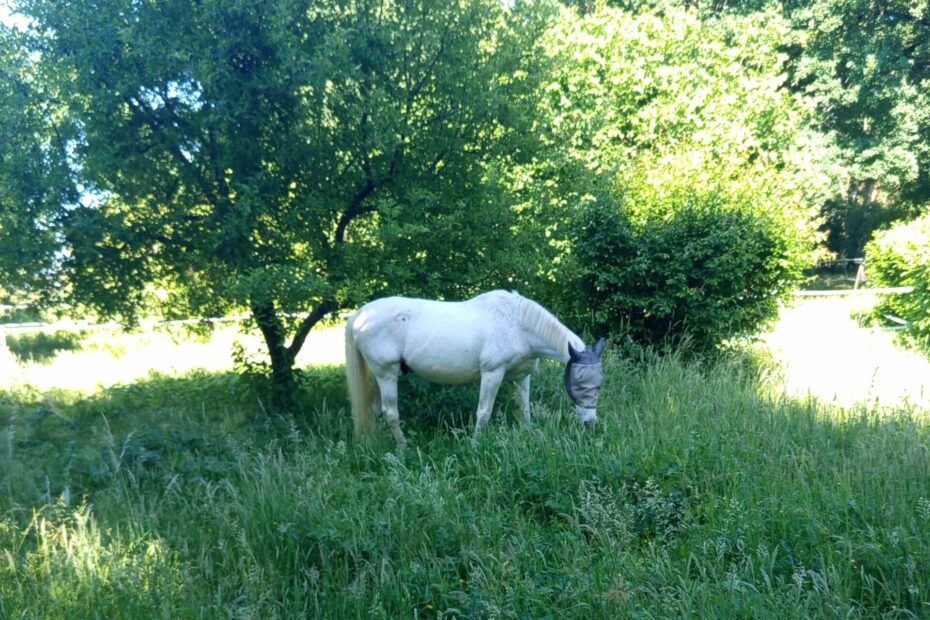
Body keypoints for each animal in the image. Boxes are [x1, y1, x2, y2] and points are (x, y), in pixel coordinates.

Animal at [344, 290, 605, 444]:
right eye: (578, 383)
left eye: (599, 385)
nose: (590, 423)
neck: (518, 324)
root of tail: (359, 315)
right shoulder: (492, 374)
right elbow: (484, 413)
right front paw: (475, 445)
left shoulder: (521, 377)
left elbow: (524, 409)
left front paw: (529, 435)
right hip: (386, 374)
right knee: (390, 412)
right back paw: (402, 448)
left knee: (373, 408)